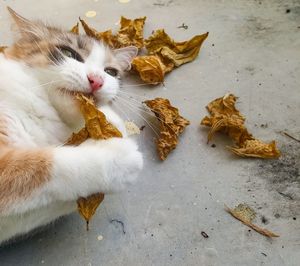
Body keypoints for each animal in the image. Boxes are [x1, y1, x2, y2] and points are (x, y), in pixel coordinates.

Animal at [0, 7, 144, 245]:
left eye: (111, 72)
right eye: (69, 54)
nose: (97, 80)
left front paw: (110, 120)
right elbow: (39, 166)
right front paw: (116, 158)